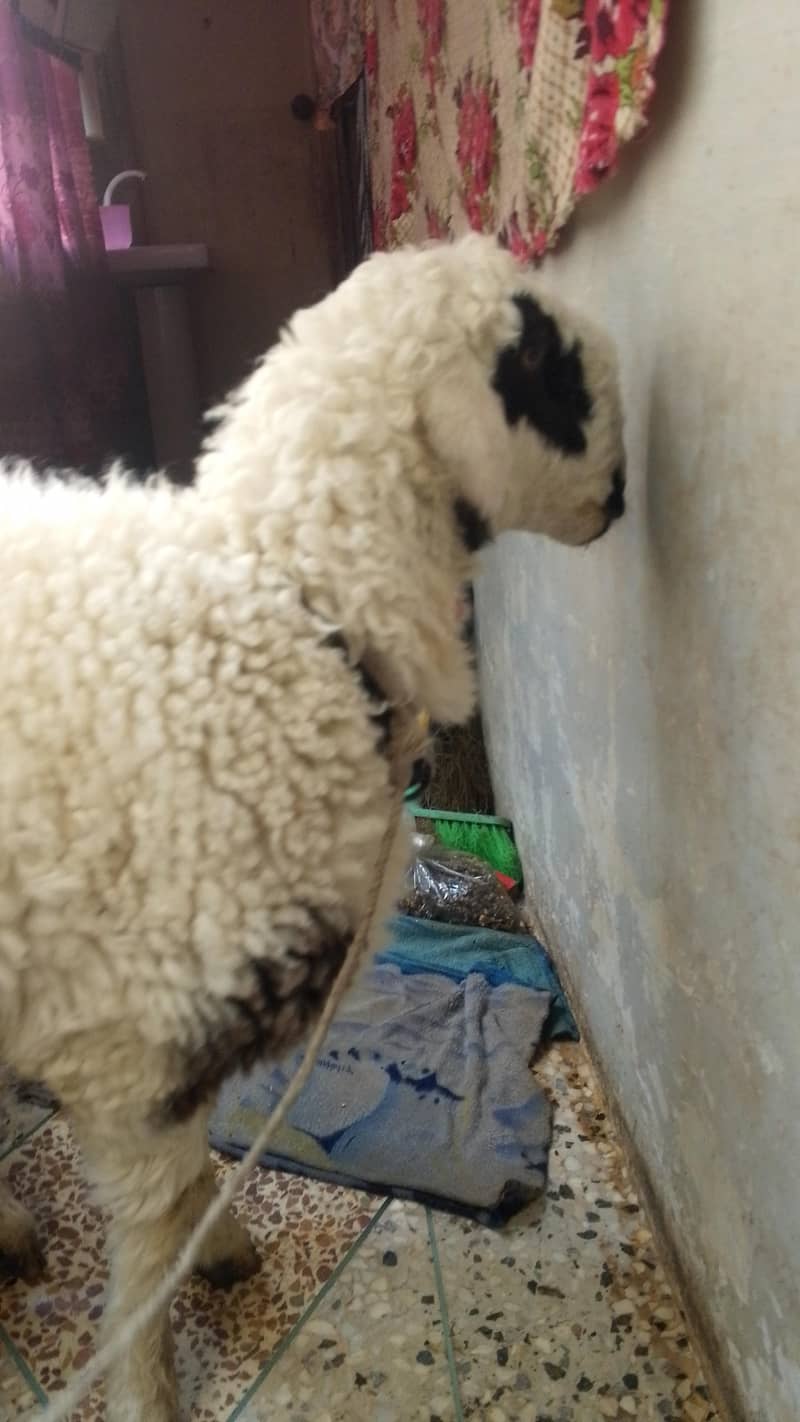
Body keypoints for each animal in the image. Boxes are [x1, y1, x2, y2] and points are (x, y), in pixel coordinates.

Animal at [0, 233, 625, 1421]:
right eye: (555, 380)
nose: (624, 496)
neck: (296, 604)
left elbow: (182, 1188)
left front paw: (218, 1248)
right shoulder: (138, 1041)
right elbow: (151, 1233)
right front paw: (150, 1381)